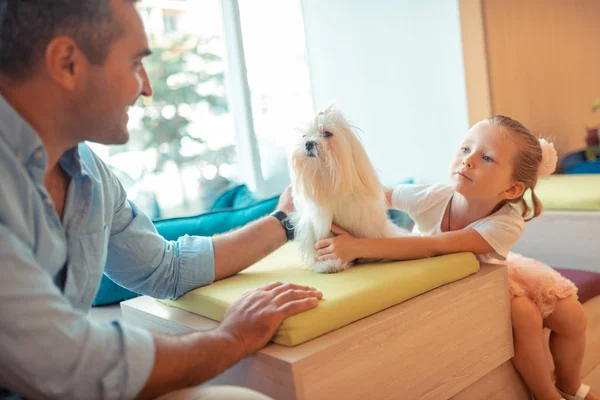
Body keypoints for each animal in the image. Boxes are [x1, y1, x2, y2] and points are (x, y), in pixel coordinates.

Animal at [288, 106, 406, 274]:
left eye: (326, 133)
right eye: (304, 136)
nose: (308, 143)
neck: (329, 181)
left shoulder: (365, 219)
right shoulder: (321, 226)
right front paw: (330, 263)